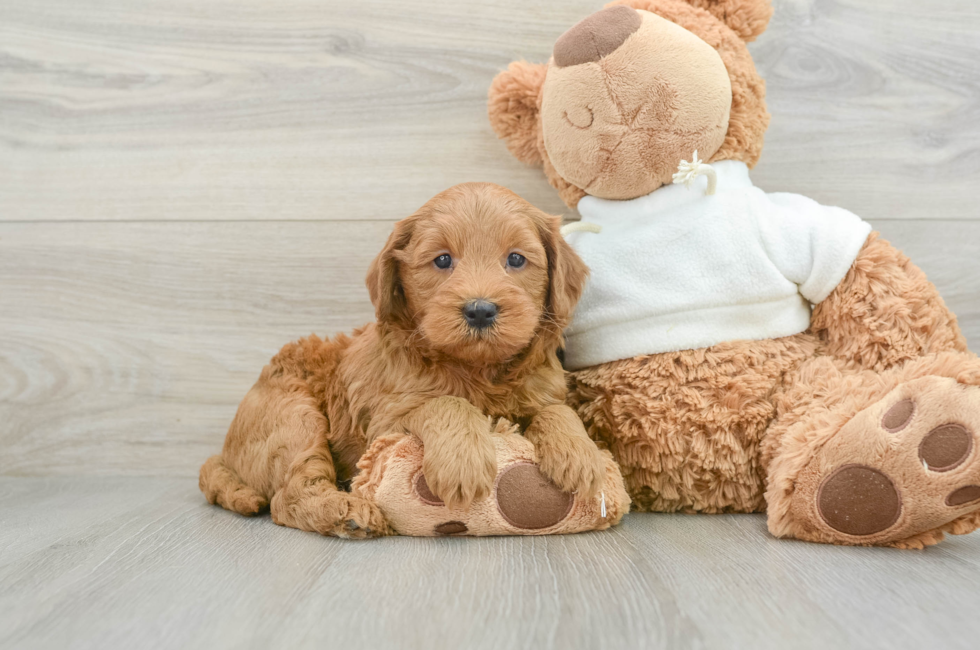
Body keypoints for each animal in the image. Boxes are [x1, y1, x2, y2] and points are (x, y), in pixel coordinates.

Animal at [196, 182, 604, 536]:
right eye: (442, 260)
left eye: (516, 259)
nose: (480, 310)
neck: (476, 368)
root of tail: (224, 454)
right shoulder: (383, 422)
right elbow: (446, 402)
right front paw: (464, 461)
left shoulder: (542, 390)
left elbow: (558, 411)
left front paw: (582, 456)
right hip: (293, 417)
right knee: (289, 496)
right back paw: (347, 512)